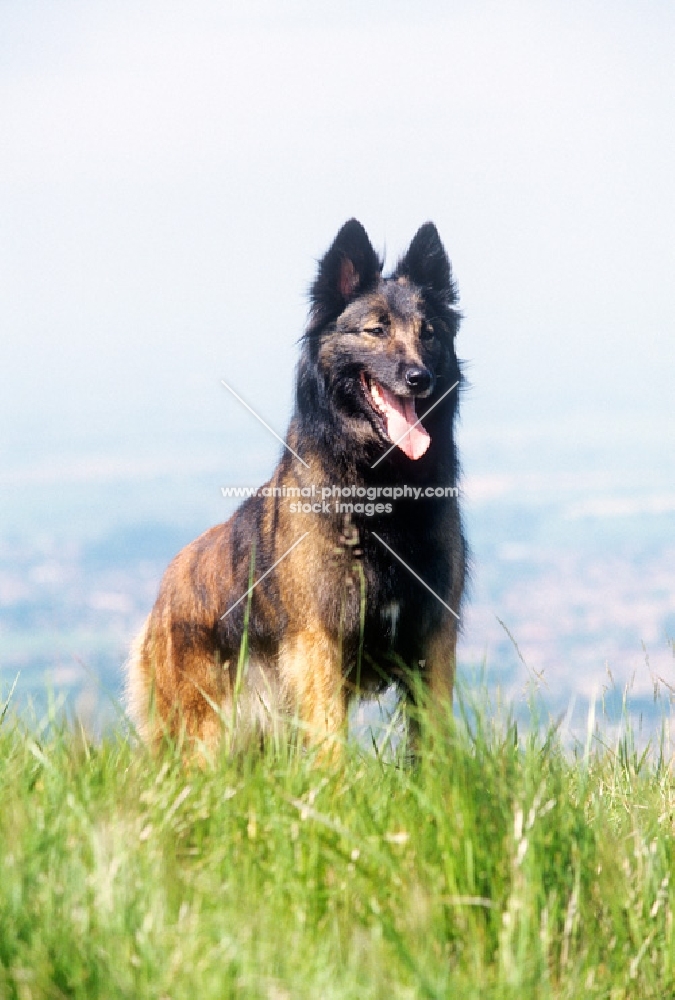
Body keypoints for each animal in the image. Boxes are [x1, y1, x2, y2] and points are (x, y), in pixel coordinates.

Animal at [125, 217, 464, 752]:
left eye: (429, 333)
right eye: (376, 330)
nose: (420, 377)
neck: (380, 487)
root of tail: (164, 590)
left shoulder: (434, 636)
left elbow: (432, 739)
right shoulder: (318, 642)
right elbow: (329, 739)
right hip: (203, 738)